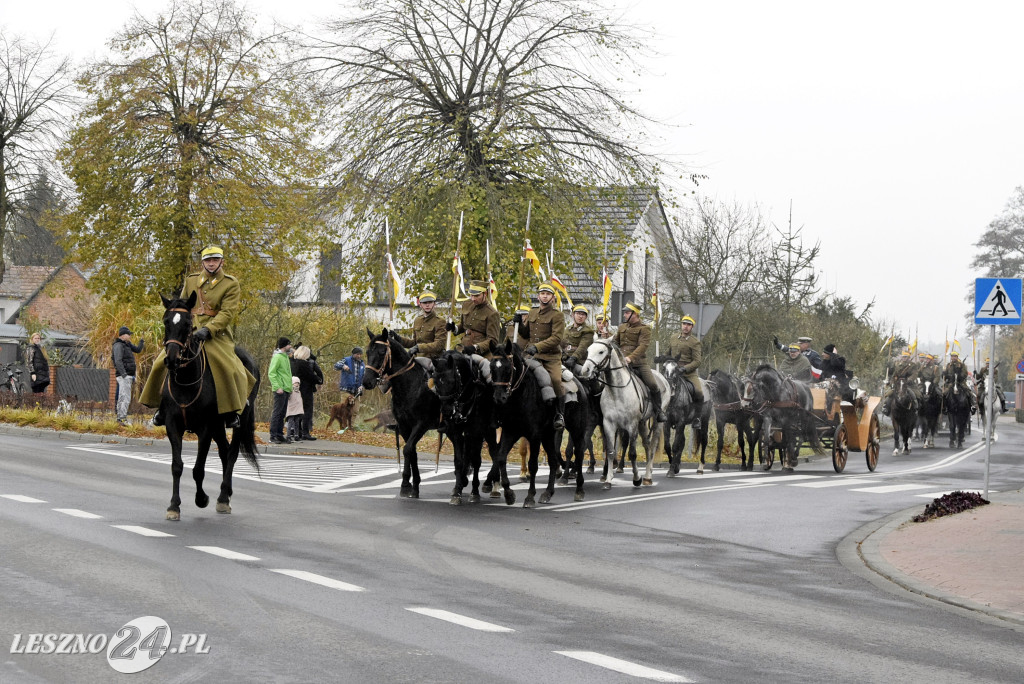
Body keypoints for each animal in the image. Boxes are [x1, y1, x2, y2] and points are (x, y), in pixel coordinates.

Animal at [157, 290, 260, 520]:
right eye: (166, 321)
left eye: (188, 323)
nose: (171, 360)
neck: (186, 381)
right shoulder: (172, 425)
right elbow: (177, 466)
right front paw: (173, 506)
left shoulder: (205, 428)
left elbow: (198, 469)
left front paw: (201, 499)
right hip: (219, 425)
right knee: (224, 451)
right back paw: (226, 493)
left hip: (238, 421)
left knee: (231, 453)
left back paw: (223, 498)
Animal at [362, 325, 438, 497]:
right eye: (367, 352)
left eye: (382, 352)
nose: (367, 381)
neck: (410, 386)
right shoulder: (404, 426)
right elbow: (411, 452)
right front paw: (413, 485)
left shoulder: (421, 425)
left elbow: (408, 449)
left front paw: (405, 484)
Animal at [428, 350, 499, 505]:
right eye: (435, 382)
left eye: (452, 381)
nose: (446, 411)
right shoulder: (456, 433)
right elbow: (459, 461)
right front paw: (457, 492)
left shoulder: (477, 433)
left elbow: (477, 461)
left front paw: (475, 492)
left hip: (489, 432)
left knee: (494, 453)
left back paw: (493, 484)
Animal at [577, 339, 671, 489]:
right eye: (588, 350)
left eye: (601, 351)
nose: (585, 371)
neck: (616, 391)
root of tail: (662, 378)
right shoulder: (609, 424)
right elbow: (610, 452)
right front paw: (608, 480)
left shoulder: (631, 425)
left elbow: (632, 453)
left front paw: (637, 479)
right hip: (642, 423)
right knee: (647, 444)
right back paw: (647, 474)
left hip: (657, 422)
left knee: (653, 445)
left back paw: (648, 477)